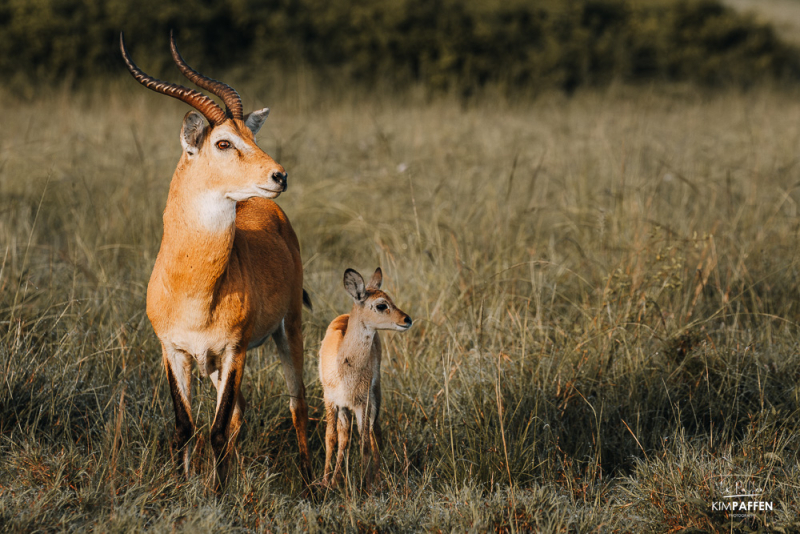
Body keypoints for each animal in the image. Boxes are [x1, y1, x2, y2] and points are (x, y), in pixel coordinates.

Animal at [122, 33, 312, 492]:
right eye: (223, 142)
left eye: (250, 136)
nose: (279, 175)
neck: (193, 287)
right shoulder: (174, 350)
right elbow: (184, 427)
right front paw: (184, 488)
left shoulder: (234, 350)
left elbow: (218, 428)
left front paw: (218, 494)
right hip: (212, 363)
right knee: (242, 411)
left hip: (289, 330)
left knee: (298, 405)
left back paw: (312, 483)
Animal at [318, 270, 412, 492]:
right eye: (381, 305)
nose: (407, 319)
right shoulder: (331, 400)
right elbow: (331, 438)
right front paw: (325, 483)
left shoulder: (363, 403)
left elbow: (365, 442)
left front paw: (368, 486)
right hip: (345, 407)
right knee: (344, 436)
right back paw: (336, 479)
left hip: (375, 393)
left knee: (373, 431)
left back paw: (375, 478)